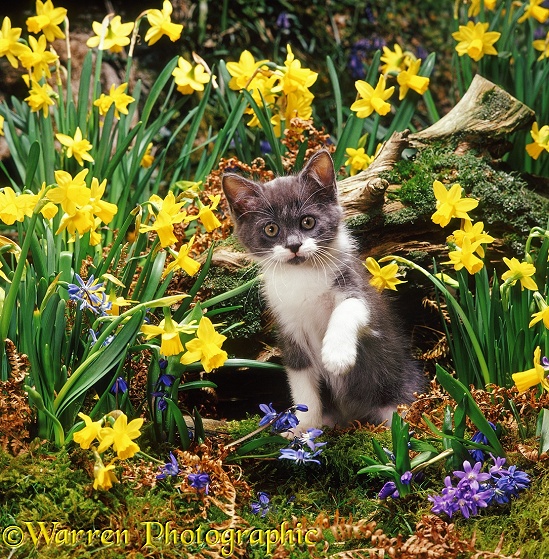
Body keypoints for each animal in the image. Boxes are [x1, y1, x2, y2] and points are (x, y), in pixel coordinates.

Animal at [220, 150, 422, 434]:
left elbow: (350, 307)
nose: (294, 245)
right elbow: (301, 382)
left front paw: (337, 355)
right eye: (271, 229)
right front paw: (302, 429)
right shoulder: (288, 327)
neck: (303, 275)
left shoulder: (361, 292)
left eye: (308, 222)